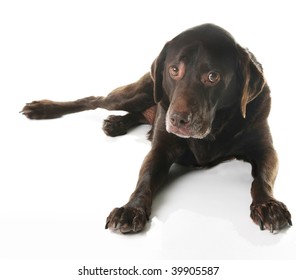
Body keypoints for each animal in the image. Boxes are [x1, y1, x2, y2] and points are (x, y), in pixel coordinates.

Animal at [22, 23, 292, 234]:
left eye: (213, 76)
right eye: (174, 70)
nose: (177, 119)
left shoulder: (265, 150)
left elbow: (261, 180)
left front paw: (268, 205)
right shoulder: (161, 150)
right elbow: (145, 179)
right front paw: (131, 209)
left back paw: (116, 123)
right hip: (133, 94)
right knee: (94, 100)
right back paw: (43, 108)